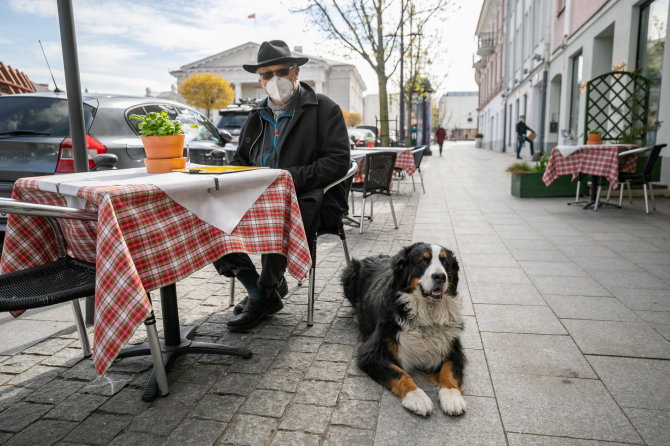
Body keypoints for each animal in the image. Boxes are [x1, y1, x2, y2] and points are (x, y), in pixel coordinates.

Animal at [342, 242, 468, 416]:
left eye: (445, 262)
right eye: (423, 260)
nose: (440, 276)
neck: (427, 312)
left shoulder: (453, 347)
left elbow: (449, 371)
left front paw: (452, 396)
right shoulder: (371, 353)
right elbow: (400, 374)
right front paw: (417, 397)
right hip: (349, 272)